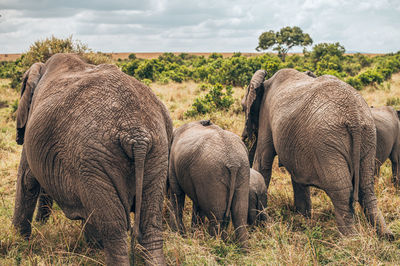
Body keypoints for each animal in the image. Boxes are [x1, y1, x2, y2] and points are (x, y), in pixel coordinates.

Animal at [12, 53, 172, 264]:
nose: (42, 224)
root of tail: (137, 133)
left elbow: (27, 180)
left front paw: (18, 241)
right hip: (158, 153)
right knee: (150, 225)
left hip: (94, 161)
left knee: (114, 228)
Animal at [169, 119, 250, 248]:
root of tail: (232, 163)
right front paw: (193, 235)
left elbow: (177, 194)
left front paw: (178, 234)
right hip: (243, 171)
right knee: (239, 214)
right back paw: (241, 250)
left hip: (211, 173)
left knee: (217, 217)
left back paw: (215, 245)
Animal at [242, 68, 392, 239]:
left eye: (242, 108)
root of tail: (354, 116)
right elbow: (297, 174)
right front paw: (303, 218)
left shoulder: (266, 116)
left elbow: (262, 162)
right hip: (368, 136)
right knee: (366, 189)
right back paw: (386, 235)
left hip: (327, 142)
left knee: (342, 192)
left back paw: (351, 239)